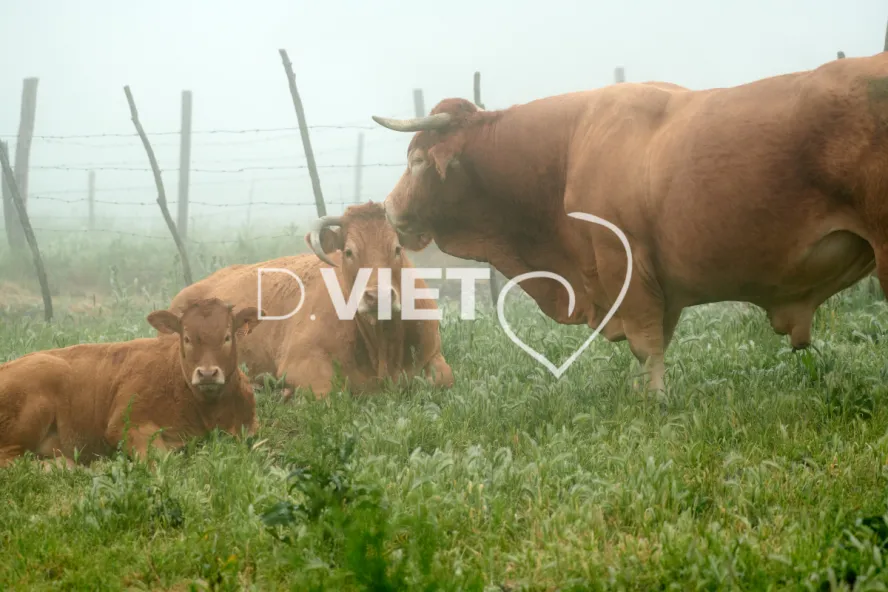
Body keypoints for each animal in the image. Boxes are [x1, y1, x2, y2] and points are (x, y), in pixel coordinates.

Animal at [166, 201, 454, 399]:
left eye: (396, 249)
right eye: (349, 252)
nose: (377, 296)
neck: (383, 349)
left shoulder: (434, 355)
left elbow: (444, 379)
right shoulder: (300, 361)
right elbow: (328, 394)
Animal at [371, 52, 888, 392]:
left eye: (417, 159)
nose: (388, 209)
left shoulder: (626, 269)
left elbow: (646, 346)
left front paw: (655, 405)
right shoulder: (660, 285)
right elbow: (658, 342)